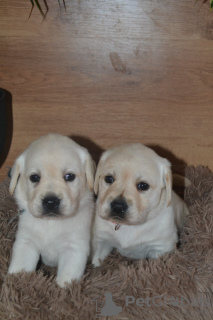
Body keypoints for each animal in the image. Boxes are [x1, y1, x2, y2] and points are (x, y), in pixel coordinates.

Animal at [8, 133, 95, 288]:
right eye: (34, 177)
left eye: (69, 176)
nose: (50, 202)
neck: (51, 222)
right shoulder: (26, 242)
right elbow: (20, 268)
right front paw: (16, 281)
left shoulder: (73, 248)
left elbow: (66, 279)